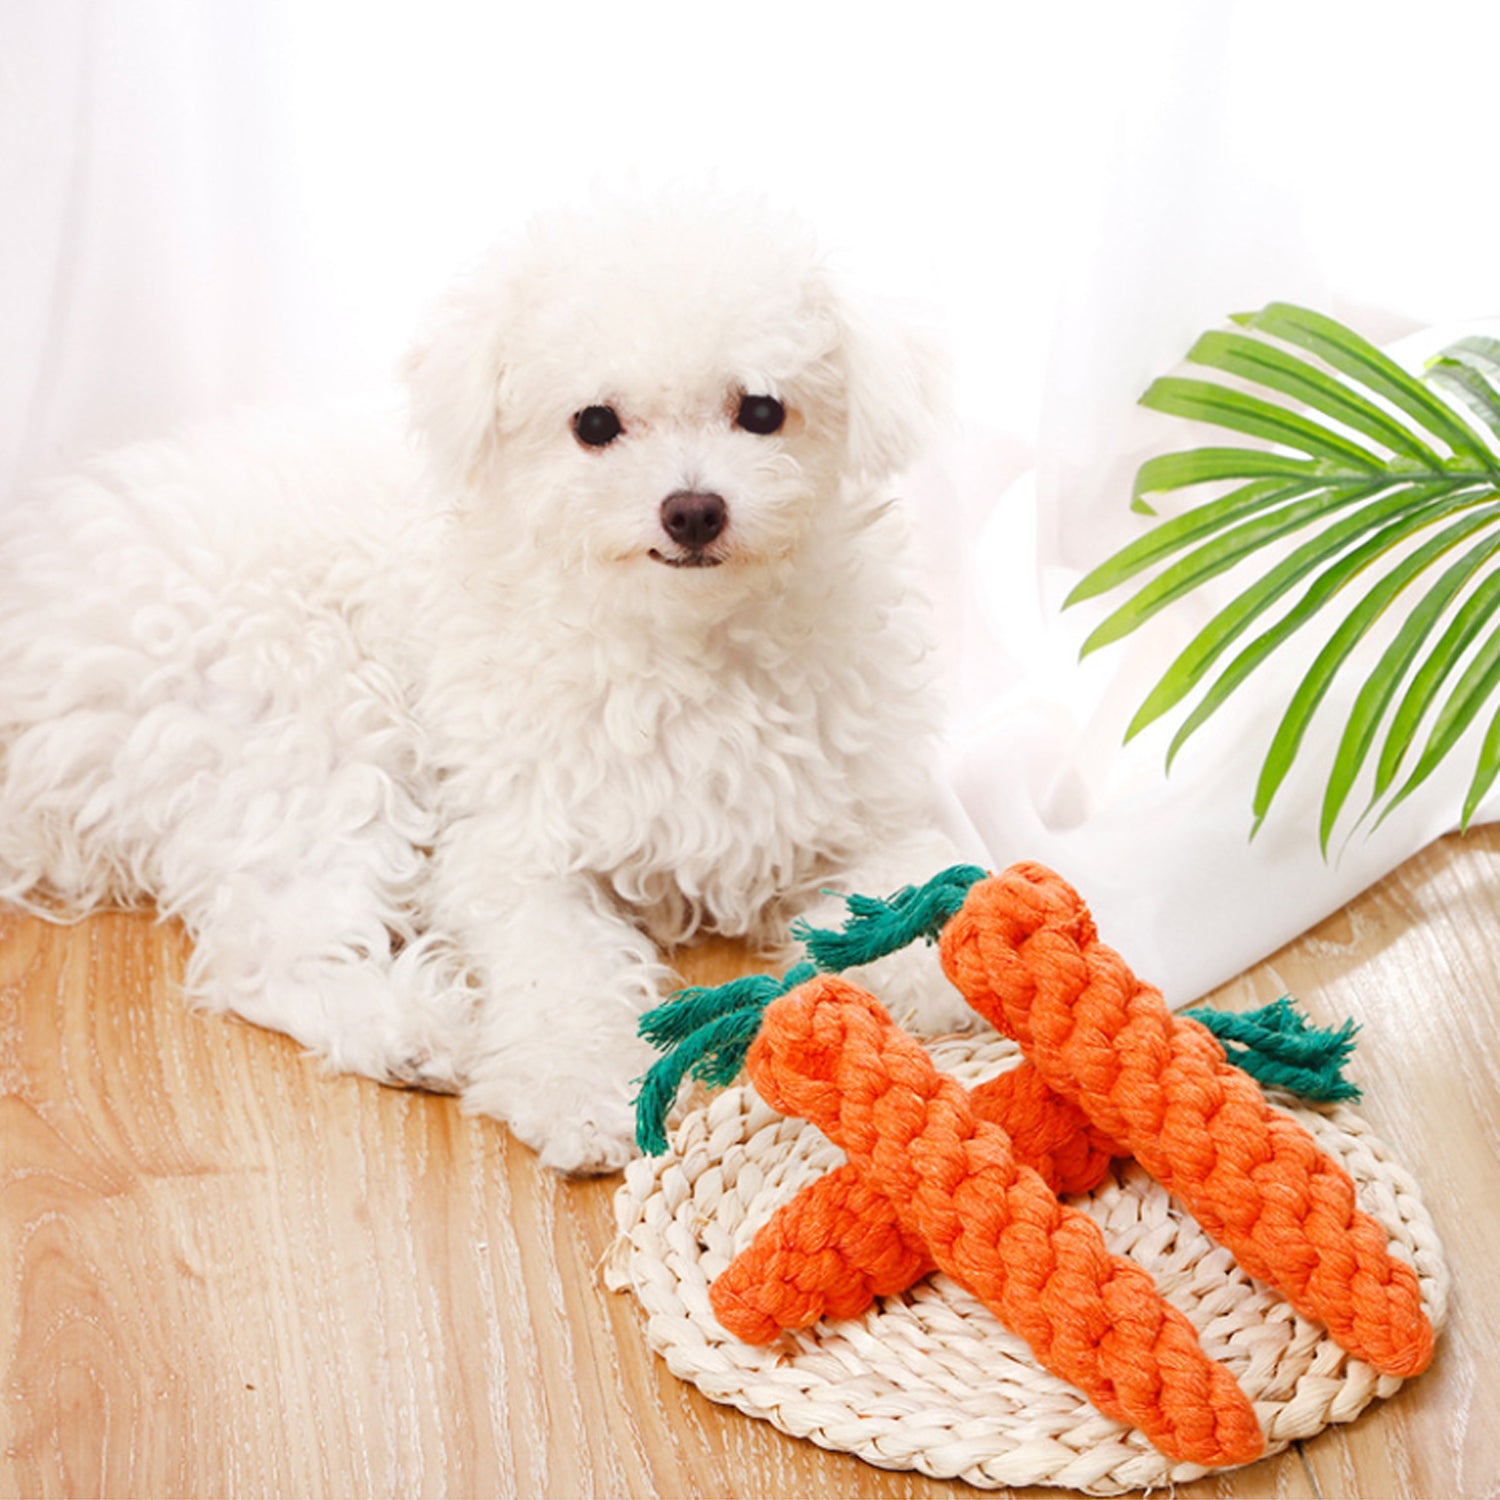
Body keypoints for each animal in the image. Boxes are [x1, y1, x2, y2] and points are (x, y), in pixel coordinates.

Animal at [0, 196, 966, 1170]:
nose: (692, 509)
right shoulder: (518, 849)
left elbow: (918, 884)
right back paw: (412, 1028)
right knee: (267, 950)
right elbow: (562, 971)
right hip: (313, 735)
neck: (683, 641)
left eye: (763, 410)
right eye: (594, 424)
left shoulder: (859, 813)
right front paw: (584, 1089)